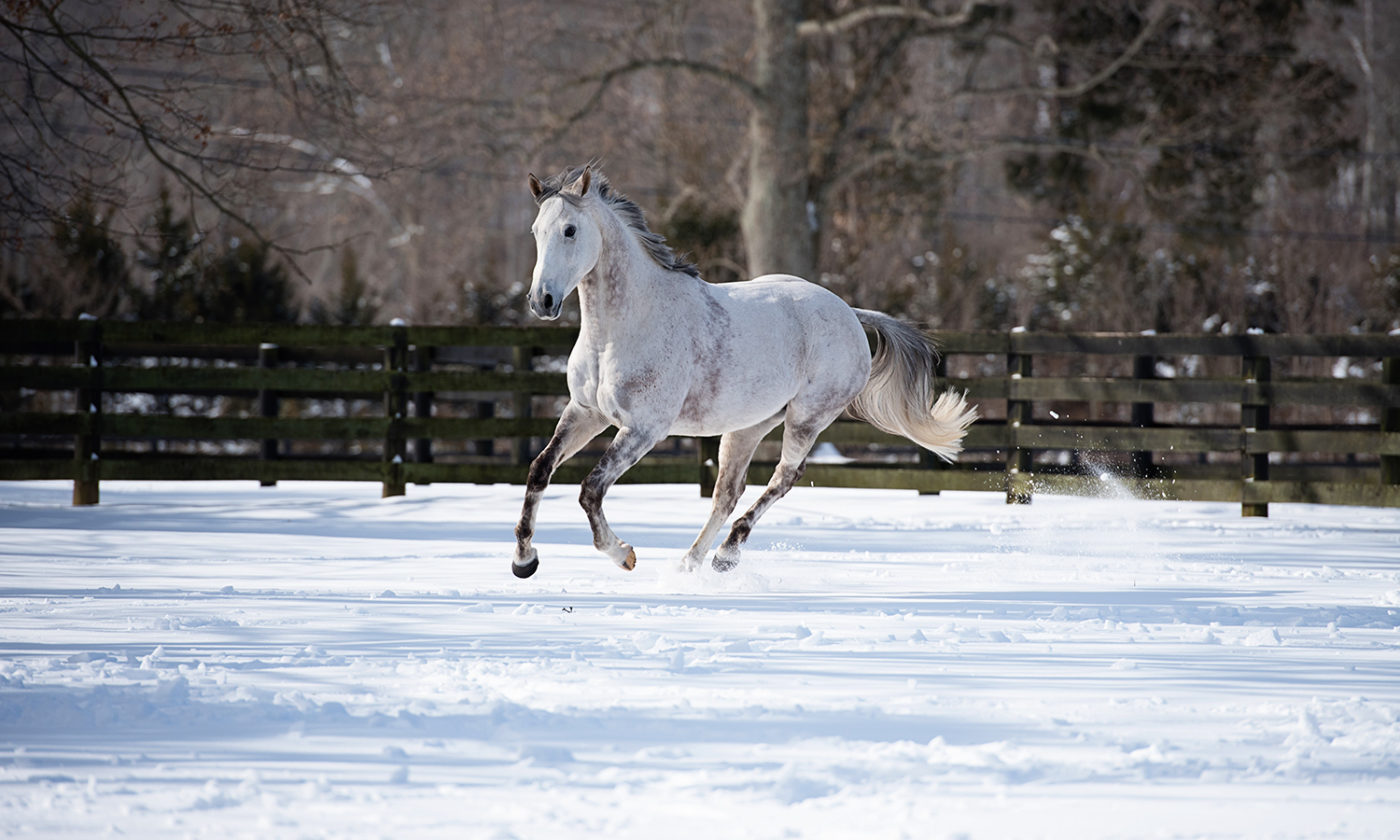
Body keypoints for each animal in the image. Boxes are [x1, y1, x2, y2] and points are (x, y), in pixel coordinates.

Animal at [509, 167, 980, 579]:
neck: (619, 331)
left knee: (784, 477)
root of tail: (849, 312)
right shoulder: (586, 413)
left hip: (807, 417)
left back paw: (724, 555)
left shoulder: (644, 428)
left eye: (570, 230)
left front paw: (623, 554)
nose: (542, 301)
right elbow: (539, 469)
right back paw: (690, 564)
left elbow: (591, 488)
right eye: (534, 231)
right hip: (748, 425)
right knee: (727, 493)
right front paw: (524, 561)